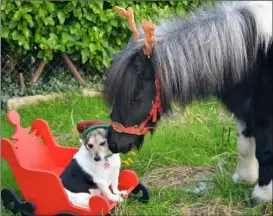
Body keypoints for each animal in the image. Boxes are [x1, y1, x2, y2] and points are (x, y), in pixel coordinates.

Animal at [103, 1, 270, 204]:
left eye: (136, 97)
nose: (114, 144)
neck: (254, 53)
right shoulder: (244, 111)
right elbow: (245, 146)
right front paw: (244, 178)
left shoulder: (263, 116)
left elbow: (265, 152)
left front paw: (262, 195)